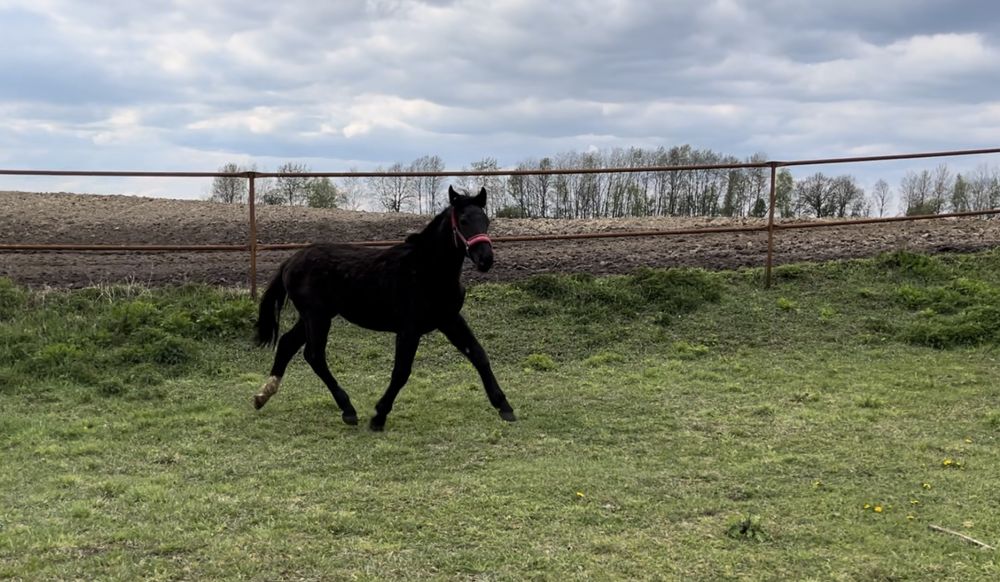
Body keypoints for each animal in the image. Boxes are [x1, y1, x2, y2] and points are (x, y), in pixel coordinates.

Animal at [252, 187, 516, 434]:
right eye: (463, 221)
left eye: (486, 220)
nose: (485, 259)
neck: (427, 270)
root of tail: (290, 261)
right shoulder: (409, 329)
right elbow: (401, 371)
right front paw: (379, 416)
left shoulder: (449, 319)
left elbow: (479, 355)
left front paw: (505, 407)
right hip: (316, 317)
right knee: (314, 355)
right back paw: (348, 410)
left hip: (314, 316)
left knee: (287, 343)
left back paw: (262, 395)